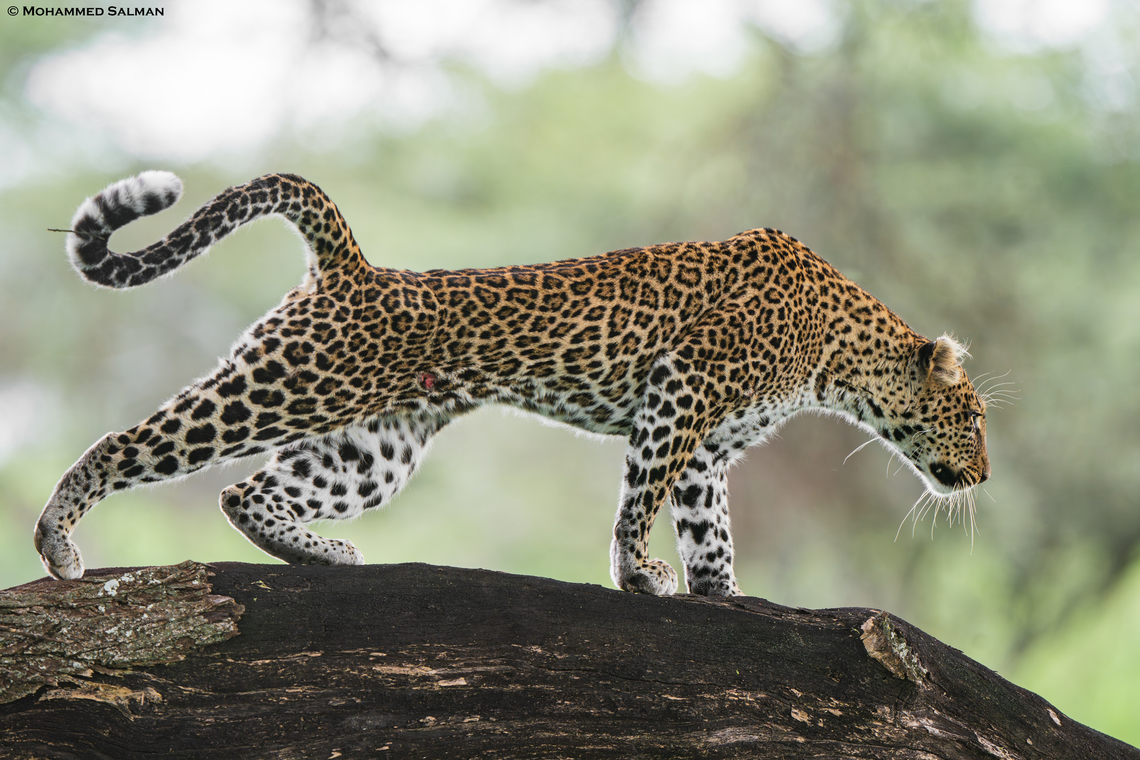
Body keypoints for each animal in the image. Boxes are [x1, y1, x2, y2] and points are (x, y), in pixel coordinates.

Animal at [34, 171, 991, 596]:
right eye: (976, 417)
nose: (983, 475)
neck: (840, 358)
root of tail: (355, 266)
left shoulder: (708, 446)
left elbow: (708, 525)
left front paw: (723, 594)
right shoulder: (679, 393)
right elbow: (640, 500)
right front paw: (639, 573)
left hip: (374, 446)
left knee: (248, 494)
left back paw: (327, 554)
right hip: (285, 384)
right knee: (125, 444)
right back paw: (58, 545)